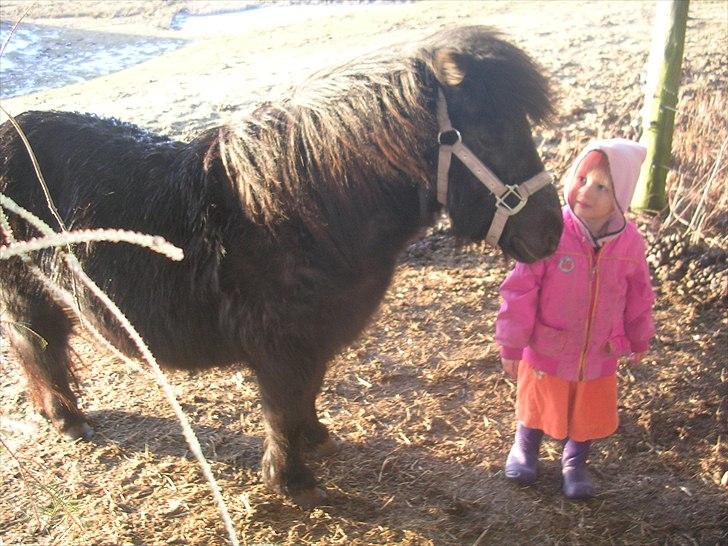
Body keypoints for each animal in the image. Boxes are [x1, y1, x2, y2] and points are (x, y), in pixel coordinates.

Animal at [0, 24, 564, 502]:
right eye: (491, 134)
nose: (552, 233)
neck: (307, 212)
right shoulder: (281, 349)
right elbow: (283, 409)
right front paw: (291, 481)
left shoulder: (313, 343)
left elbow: (306, 396)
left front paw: (316, 438)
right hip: (25, 294)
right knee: (38, 347)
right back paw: (67, 419)